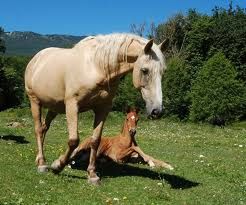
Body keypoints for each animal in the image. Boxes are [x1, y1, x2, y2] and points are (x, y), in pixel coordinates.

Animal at [24, 33, 168, 184]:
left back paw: (39, 159)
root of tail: (36, 59)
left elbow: (95, 140)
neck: (95, 66)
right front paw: (57, 165)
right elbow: (73, 140)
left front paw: (92, 174)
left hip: (54, 108)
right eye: (145, 70)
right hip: (35, 101)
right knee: (38, 130)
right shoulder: (72, 105)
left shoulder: (102, 108)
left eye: (163, 72)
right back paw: (42, 164)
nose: (157, 111)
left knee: (44, 128)